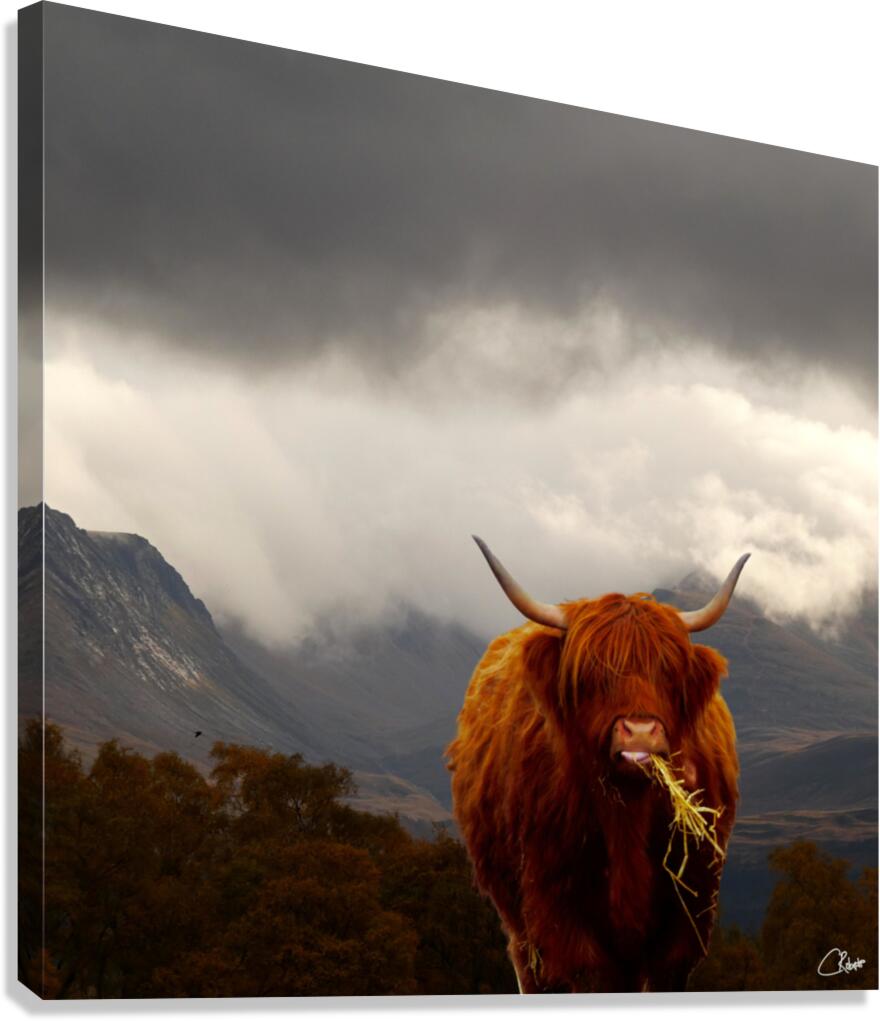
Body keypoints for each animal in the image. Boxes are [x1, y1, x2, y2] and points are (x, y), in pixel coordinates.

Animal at [446, 537, 749, 993]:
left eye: (668, 672)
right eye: (590, 673)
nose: (640, 732)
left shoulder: (686, 917)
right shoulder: (559, 914)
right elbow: (589, 974)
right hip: (519, 929)